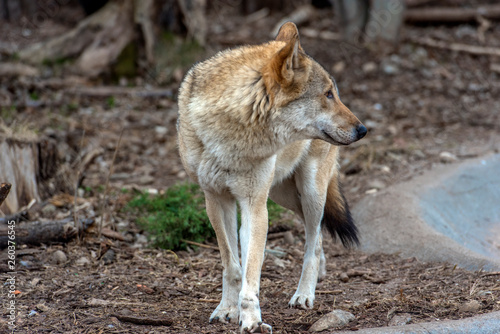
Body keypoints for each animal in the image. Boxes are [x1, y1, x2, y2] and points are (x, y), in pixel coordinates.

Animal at [178, 22, 366, 332]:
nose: (363, 130)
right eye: (328, 94)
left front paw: (251, 319)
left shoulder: (254, 206)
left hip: (309, 191)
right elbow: (232, 265)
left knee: (312, 242)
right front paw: (227, 309)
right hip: (285, 197)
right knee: (317, 237)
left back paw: (304, 295)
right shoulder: (215, 200)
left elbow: (251, 270)